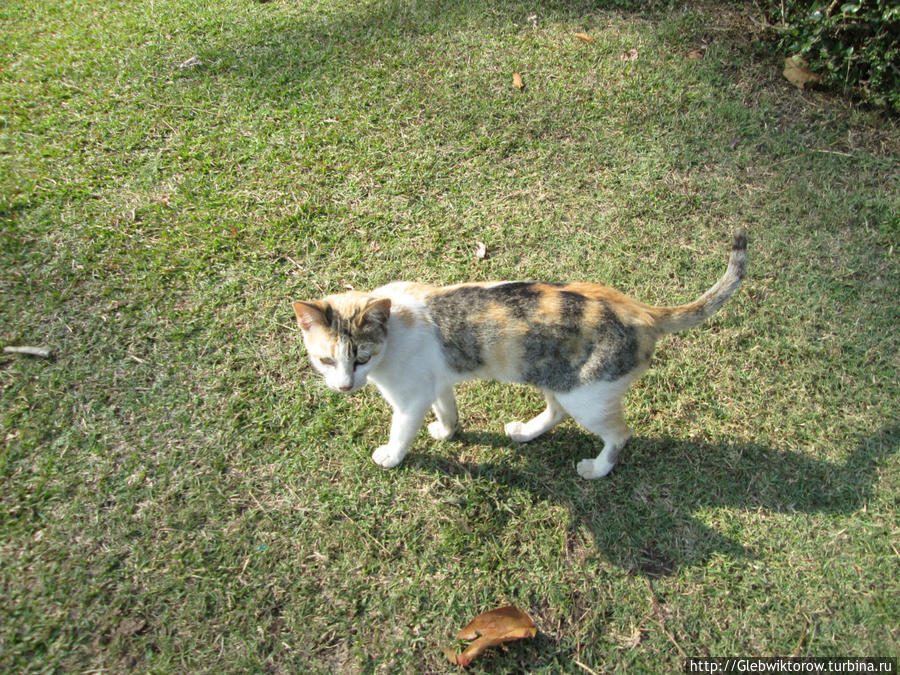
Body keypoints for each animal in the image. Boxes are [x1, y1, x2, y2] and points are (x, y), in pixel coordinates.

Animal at [294, 230, 744, 478]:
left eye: (361, 358)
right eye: (327, 360)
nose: (344, 386)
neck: (395, 325)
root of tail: (642, 310)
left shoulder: (409, 400)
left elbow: (401, 432)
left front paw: (390, 456)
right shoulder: (434, 384)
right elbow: (448, 409)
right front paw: (447, 431)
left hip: (589, 396)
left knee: (620, 435)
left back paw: (597, 469)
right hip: (558, 379)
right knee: (556, 412)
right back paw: (526, 432)